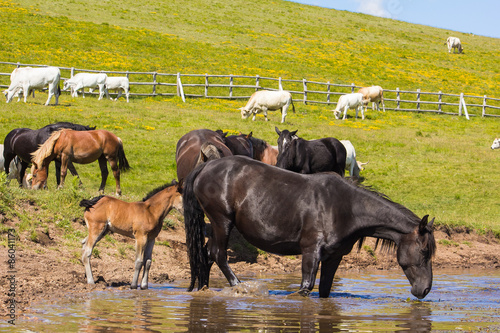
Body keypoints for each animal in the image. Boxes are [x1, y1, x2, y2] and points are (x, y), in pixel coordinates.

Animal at [182, 156, 436, 298]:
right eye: (424, 251)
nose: (424, 290)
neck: (346, 208)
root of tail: (206, 166)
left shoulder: (333, 258)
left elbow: (324, 290)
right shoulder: (311, 251)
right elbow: (305, 287)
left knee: (206, 255)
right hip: (222, 221)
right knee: (218, 254)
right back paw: (240, 287)